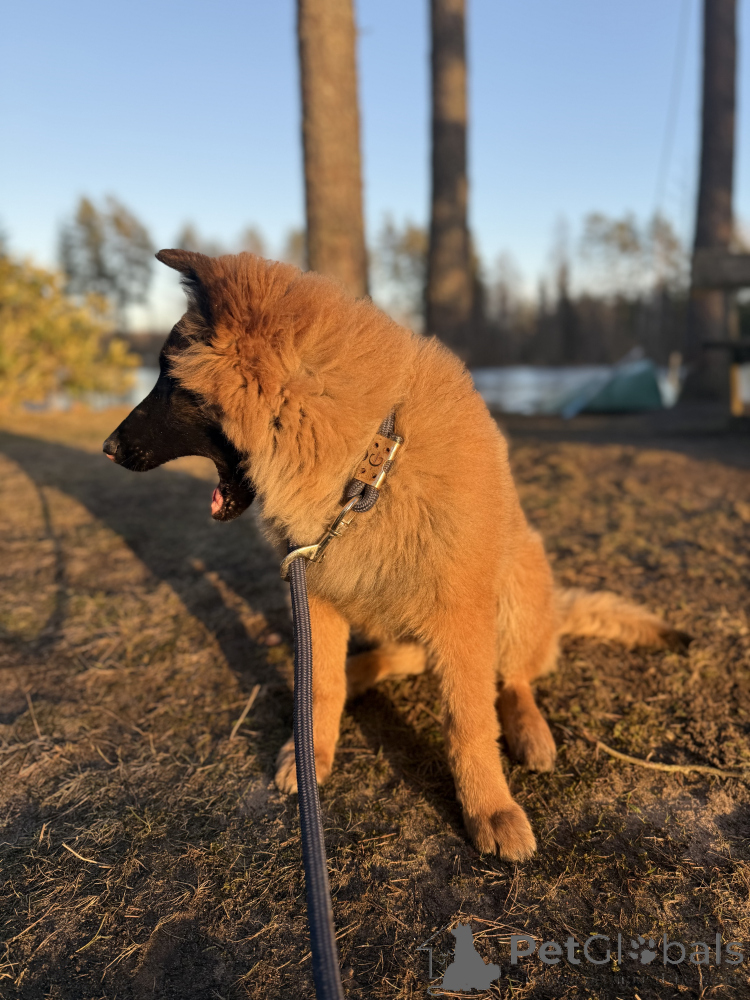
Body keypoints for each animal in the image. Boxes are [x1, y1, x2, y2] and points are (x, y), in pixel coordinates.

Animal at [104, 250, 689, 860]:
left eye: (169, 381)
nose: (107, 448)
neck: (370, 464)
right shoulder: (316, 597)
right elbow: (323, 686)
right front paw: (311, 753)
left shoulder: (461, 615)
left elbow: (470, 722)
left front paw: (488, 808)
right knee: (403, 657)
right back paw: (359, 672)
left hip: (515, 588)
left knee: (514, 676)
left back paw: (528, 728)